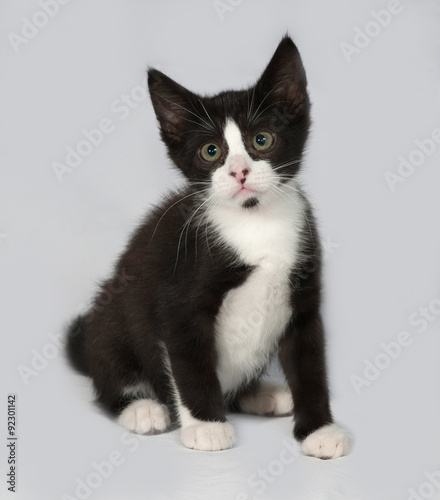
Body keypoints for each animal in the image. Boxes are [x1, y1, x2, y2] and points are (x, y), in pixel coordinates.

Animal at [67, 34, 352, 458]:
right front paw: (207, 426)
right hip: (110, 319)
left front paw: (319, 429)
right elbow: (191, 364)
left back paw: (263, 394)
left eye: (261, 140)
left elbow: (310, 365)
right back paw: (141, 407)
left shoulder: (304, 297)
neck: (255, 223)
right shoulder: (179, 299)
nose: (239, 172)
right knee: (108, 380)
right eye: (211, 151)